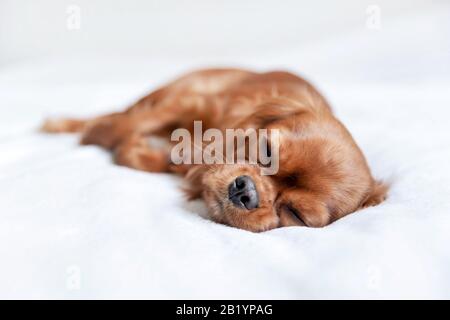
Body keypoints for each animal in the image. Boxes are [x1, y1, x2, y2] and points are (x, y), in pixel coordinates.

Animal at [42, 69, 386, 231]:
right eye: (266, 151)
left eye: (296, 214)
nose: (246, 191)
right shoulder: (190, 101)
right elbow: (128, 125)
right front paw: (100, 135)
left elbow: (151, 155)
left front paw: (136, 150)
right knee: (120, 113)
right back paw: (63, 124)